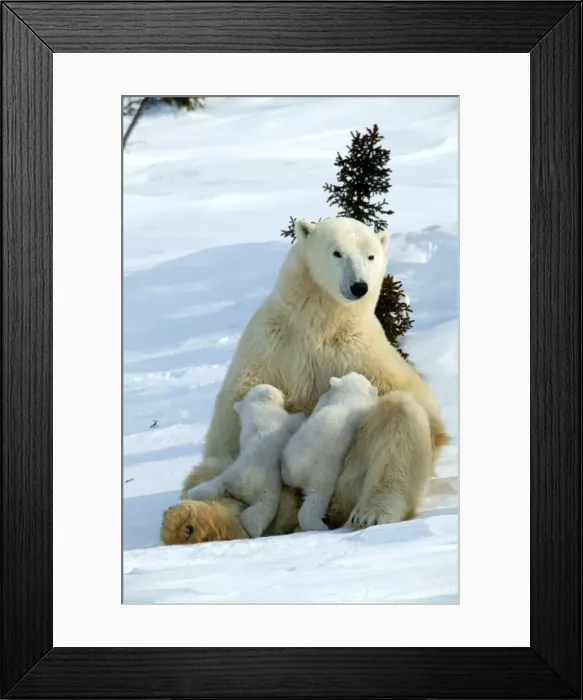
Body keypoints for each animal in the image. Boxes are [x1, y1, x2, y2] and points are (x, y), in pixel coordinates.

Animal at [187, 384, 306, 538]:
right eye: (277, 390)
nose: (283, 393)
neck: (258, 407)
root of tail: (241, 486)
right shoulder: (281, 420)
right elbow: (293, 421)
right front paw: (302, 414)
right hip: (267, 487)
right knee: (260, 511)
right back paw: (252, 529)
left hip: (229, 474)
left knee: (213, 485)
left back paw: (194, 492)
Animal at [281, 372, 379, 532]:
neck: (350, 396)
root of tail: (298, 470)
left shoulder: (325, 401)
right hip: (322, 471)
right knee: (317, 498)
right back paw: (320, 525)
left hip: (289, 455)